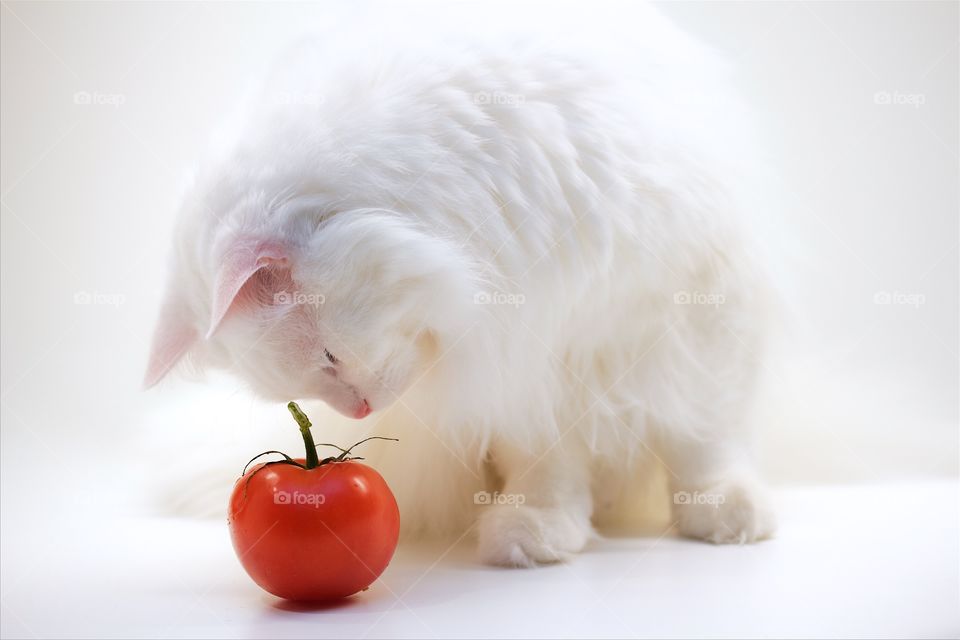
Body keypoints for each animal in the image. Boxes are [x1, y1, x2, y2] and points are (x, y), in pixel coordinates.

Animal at [146, 3, 776, 564]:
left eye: (328, 355)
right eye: (308, 382)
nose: (359, 411)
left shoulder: (693, 306)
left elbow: (702, 436)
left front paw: (723, 511)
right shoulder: (522, 369)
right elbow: (548, 463)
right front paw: (538, 532)